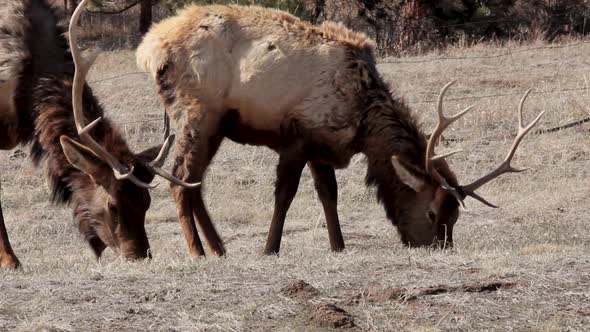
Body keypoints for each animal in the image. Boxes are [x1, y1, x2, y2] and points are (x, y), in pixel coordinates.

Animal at [136, 3, 548, 256]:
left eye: (455, 216)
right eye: (433, 214)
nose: (437, 247)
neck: (362, 116)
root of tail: (148, 49)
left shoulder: (322, 143)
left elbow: (328, 194)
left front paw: (338, 245)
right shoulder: (297, 135)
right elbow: (285, 195)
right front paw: (271, 248)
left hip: (215, 125)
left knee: (194, 182)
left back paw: (219, 248)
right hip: (198, 112)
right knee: (179, 178)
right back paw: (197, 252)